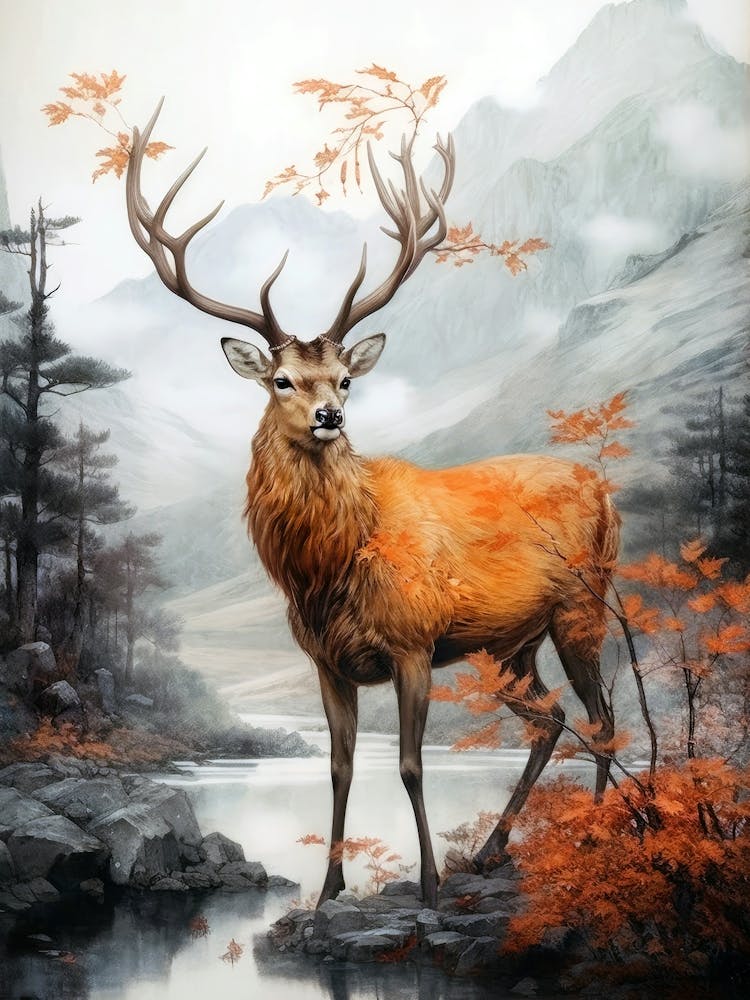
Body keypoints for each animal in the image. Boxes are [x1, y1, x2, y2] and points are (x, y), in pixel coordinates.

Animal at [125, 100, 618, 911]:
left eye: (345, 379)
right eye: (282, 380)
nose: (331, 416)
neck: (327, 571)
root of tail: (606, 489)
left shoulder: (414, 643)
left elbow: (412, 765)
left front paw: (426, 885)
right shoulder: (326, 661)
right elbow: (340, 766)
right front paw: (328, 890)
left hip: (583, 603)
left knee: (604, 717)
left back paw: (592, 838)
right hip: (511, 644)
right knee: (550, 720)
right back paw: (491, 851)